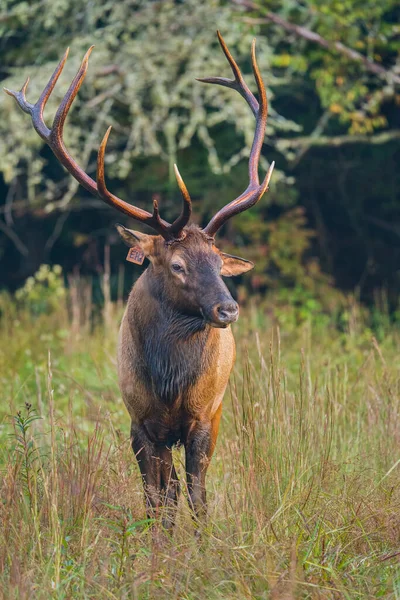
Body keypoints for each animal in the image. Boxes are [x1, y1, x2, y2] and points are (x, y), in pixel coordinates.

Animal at [5, 32, 276, 528]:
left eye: (217, 260)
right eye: (178, 265)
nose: (228, 308)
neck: (168, 384)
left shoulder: (204, 417)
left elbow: (197, 496)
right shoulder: (140, 421)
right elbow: (157, 500)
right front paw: (160, 546)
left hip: (219, 408)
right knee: (164, 492)